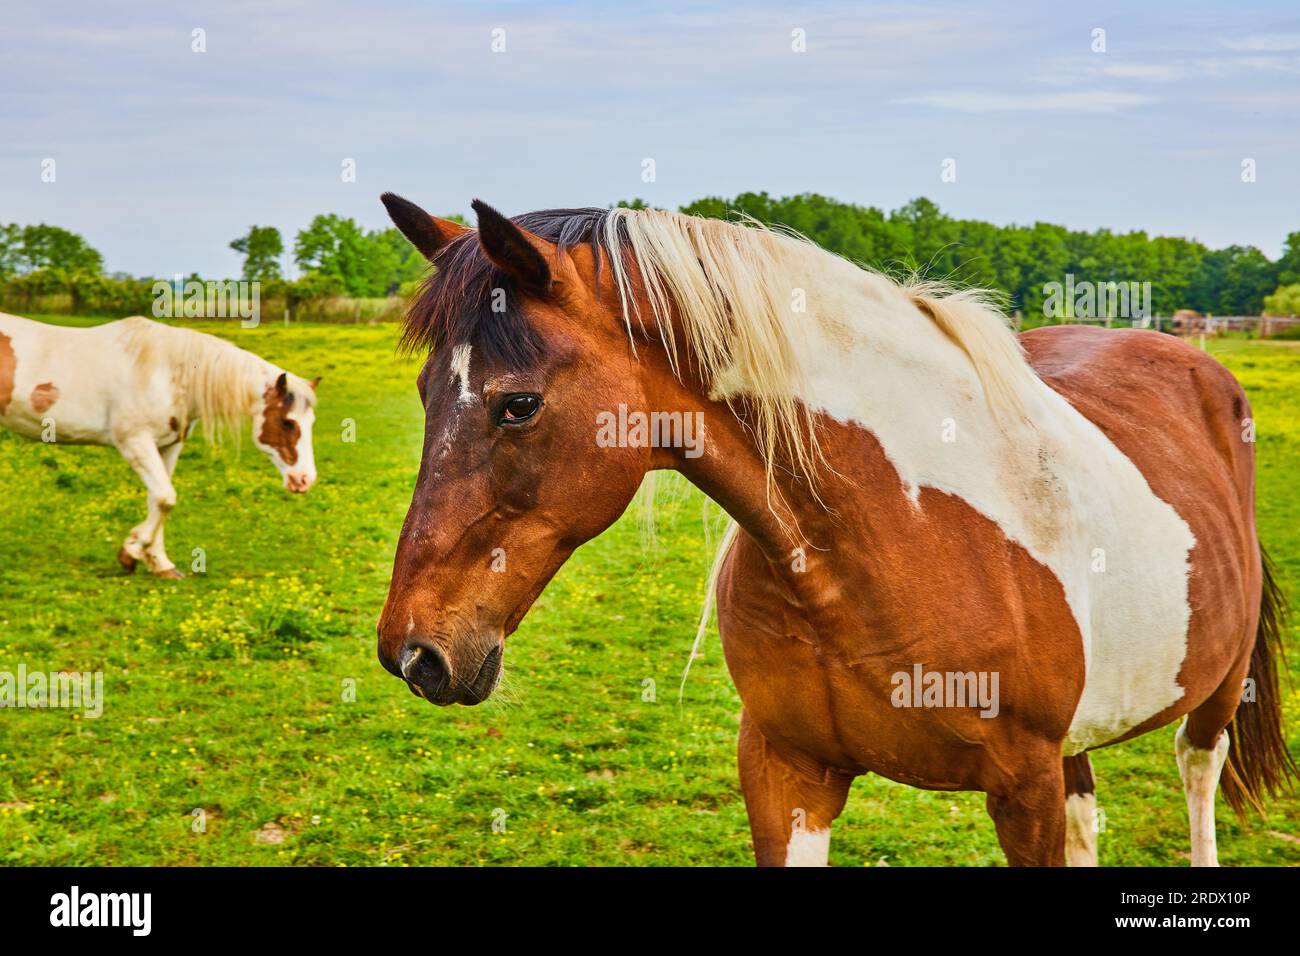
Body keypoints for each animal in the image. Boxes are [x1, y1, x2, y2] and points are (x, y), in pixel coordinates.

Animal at [0, 313, 319, 577]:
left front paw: (159, 563)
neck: (168, 372)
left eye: (311, 421)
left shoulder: (168, 446)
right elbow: (166, 497)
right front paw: (130, 552)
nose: (305, 479)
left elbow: (158, 500)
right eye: (288, 422)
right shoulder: (134, 441)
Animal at [374, 192, 1295, 866]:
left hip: (1213, 692)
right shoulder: (786, 770)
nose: (414, 653)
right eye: (421, 392)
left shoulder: (1021, 786)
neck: (885, 538)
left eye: (518, 405)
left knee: (1197, 774)